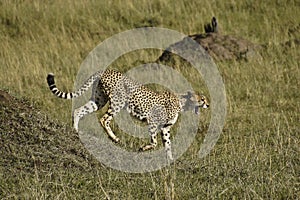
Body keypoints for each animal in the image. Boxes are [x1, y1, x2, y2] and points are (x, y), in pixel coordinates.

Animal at [47, 69, 209, 159]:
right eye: (202, 99)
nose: (208, 104)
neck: (182, 103)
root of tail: (106, 70)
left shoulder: (165, 128)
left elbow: (167, 144)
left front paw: (170, 160)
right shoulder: (152, 121)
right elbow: (154, 142)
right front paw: (143, 148)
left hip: (99, 100)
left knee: (78, 110)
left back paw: (75, 130)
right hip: (117, 102)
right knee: (104, 119)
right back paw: (114, 138)